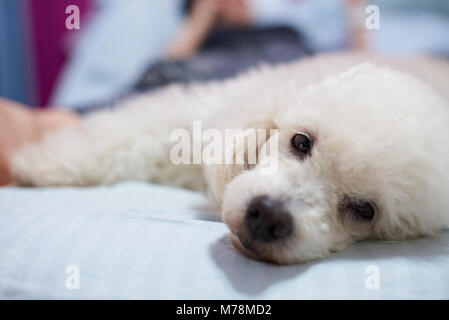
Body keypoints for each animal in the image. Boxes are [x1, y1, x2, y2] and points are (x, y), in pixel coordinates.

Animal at [9, 53, 448, 262]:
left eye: (364, 210)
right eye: (301, 142)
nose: (268, 216)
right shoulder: (199, 118)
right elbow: (127, 134)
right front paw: (44, 162)